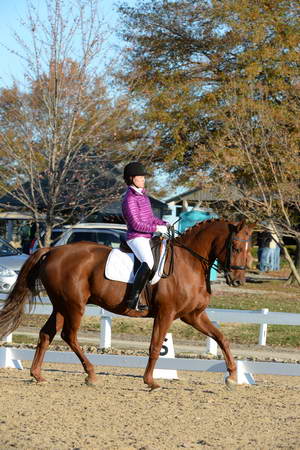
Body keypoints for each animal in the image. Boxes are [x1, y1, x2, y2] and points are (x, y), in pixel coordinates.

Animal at [0, 219, 253, 390]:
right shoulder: (166, 313)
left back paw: (38, 375)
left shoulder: (193, 315)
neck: (189, 262)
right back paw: (91, 375)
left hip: (61, 306)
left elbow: (221, 338)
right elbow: (155, 346)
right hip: (74, 306)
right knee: (68, 336)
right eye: (236, 248)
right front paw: (151, 382)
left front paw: (232, 377)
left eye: (248, 249)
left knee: (46, 334)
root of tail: (53, 250)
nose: (237, 280)